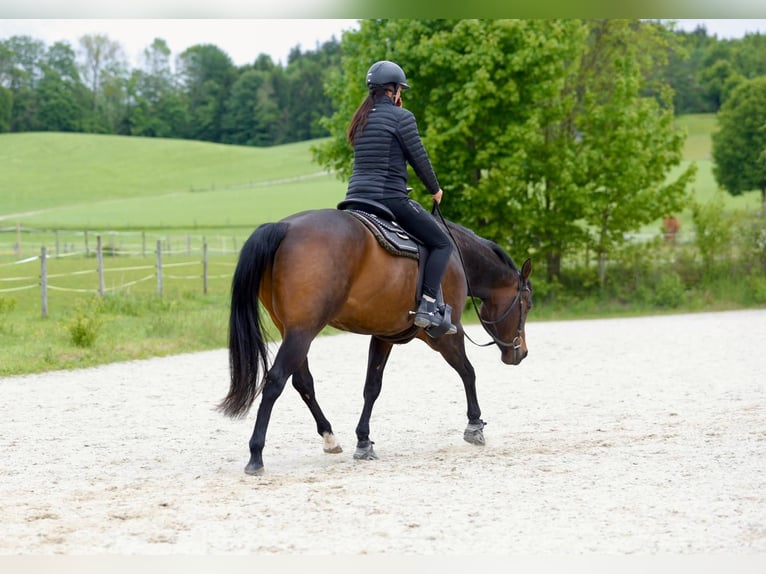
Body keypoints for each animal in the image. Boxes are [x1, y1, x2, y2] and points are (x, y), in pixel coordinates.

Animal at [218, 205, 533, 475]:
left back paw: (329, 437)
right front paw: (475, 424)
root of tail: (284, 227)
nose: (522, 353)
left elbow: (372, 386)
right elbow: (468, 372)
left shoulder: (384, 336)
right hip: (302, 332)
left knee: (302, 383)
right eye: (527, 304)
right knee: (275, 381)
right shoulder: (446, 337)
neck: (456, 256)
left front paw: (363, 440)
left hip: (292, 331)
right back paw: (256, 453)